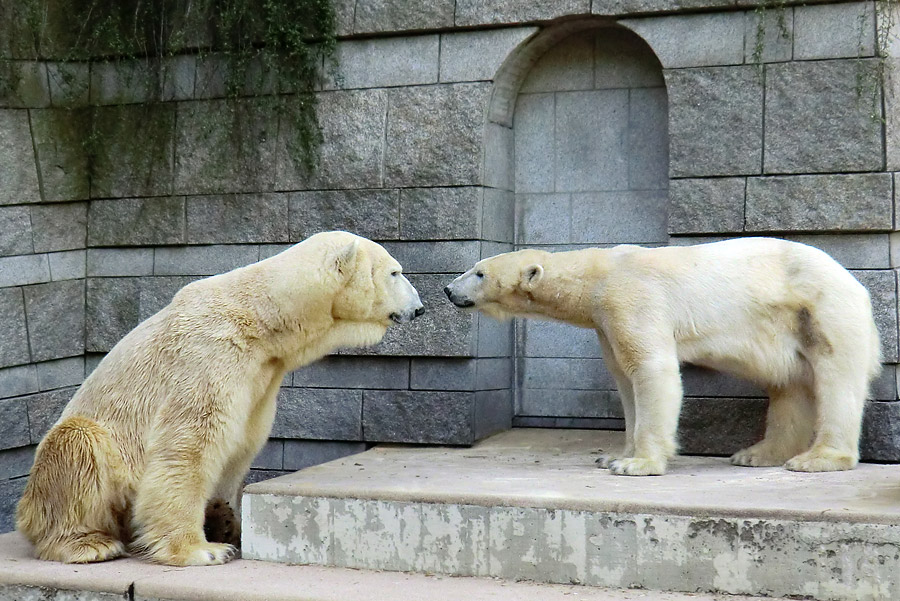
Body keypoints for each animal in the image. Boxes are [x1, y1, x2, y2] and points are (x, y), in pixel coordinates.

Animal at [14, 230, 422, 564]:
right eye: (395, 273)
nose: (420, 307)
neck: (262, 319)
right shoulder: (210, 353)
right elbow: (189, 445)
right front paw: (202, 550)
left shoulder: (261, 379)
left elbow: (239, 446)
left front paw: (226, 520)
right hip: (73, 465)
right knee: (79, 443)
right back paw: (90, 544)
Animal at [446, 237, 884, 476]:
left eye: (479, 272)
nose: (449, 290)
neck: (597, 274)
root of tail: (857, 284)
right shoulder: (605, 322)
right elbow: (624, 380)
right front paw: (614, 455)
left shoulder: (630, 298)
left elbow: (650, 369)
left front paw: (637, 464)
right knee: (788, 386)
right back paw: (756, 454)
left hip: (821, 308)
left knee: (835, 378)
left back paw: (817, 458)